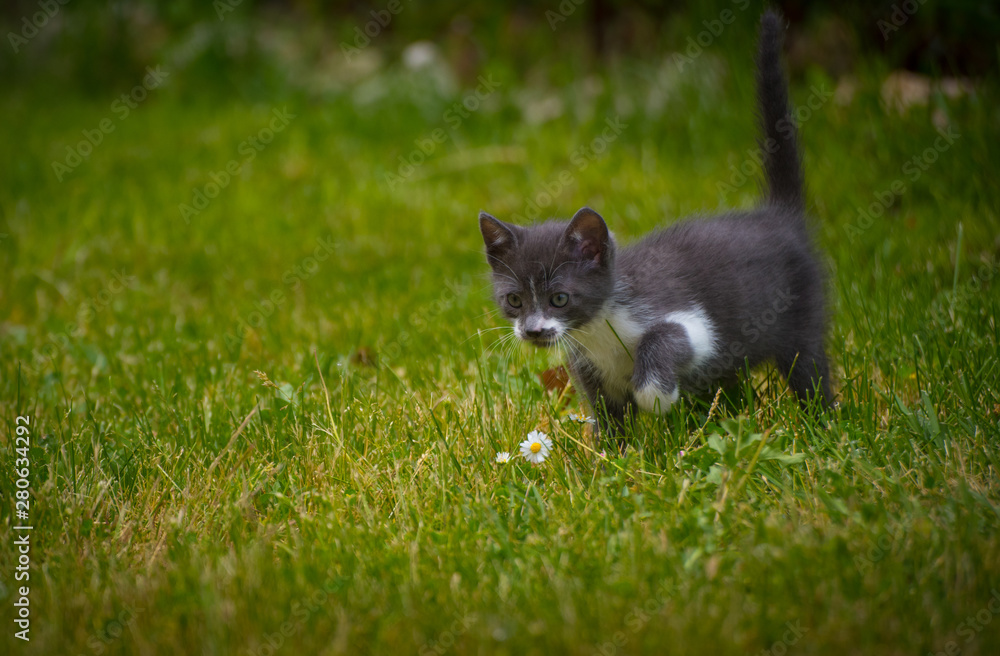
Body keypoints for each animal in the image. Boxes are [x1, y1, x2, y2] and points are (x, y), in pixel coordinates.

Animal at [480, 11, 832, 436]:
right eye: (514, 300)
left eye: (560, 298)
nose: (532, 330)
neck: (597, 329)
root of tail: (778, 215)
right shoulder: (588, 366)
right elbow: (608, 414)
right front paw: (609, 449)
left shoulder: (689, 321)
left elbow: (669, 337)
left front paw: (655, 397)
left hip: (801, 313)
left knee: (809, 368)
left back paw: (825, 420)